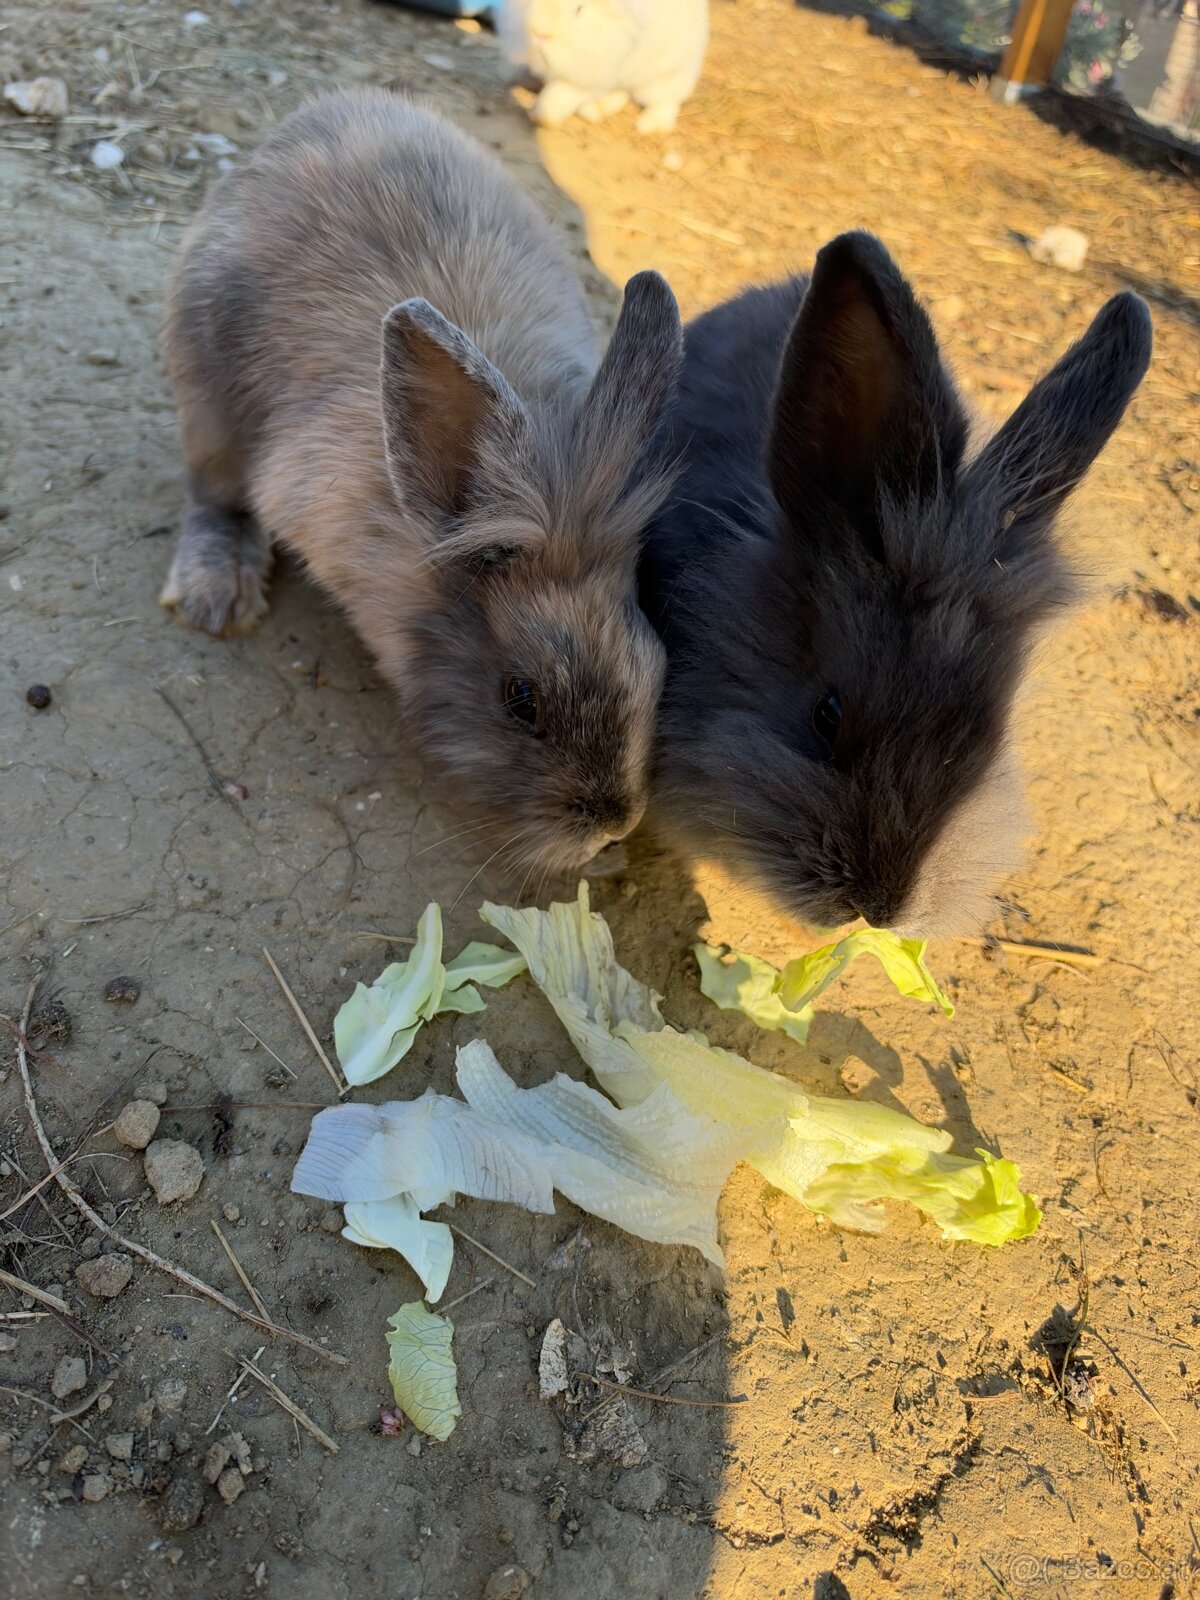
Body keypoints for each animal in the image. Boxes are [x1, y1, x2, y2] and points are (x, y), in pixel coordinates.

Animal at [162, 91, 684, 879]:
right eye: (520, 698)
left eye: (652, 664)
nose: (612, 828)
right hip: (207, 395)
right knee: (211, 495)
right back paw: (218, 593)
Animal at [496, 0, 709, 133]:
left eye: (579, 9)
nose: (540, 33)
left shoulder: (595, 75)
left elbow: (558, 95)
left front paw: (541, 118)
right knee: (623, 93)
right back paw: (601, 108)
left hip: (662, 80)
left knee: (666, 102)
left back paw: (646, 126)